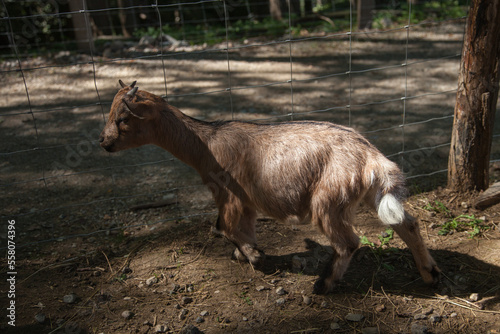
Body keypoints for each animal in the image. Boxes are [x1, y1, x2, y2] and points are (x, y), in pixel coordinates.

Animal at [99, 80, 440, 292]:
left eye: (123, 119)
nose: (103, 142)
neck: (205, 144)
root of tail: (372, 157)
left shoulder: (228, 194)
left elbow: (224, 227)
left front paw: (254, 256)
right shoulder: (245, 200)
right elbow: (237, 227)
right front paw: (245, 254)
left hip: (328, 202)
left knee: (349, 243)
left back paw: (324, 284)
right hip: (372, 193)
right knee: (406, 222)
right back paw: (430, 273)